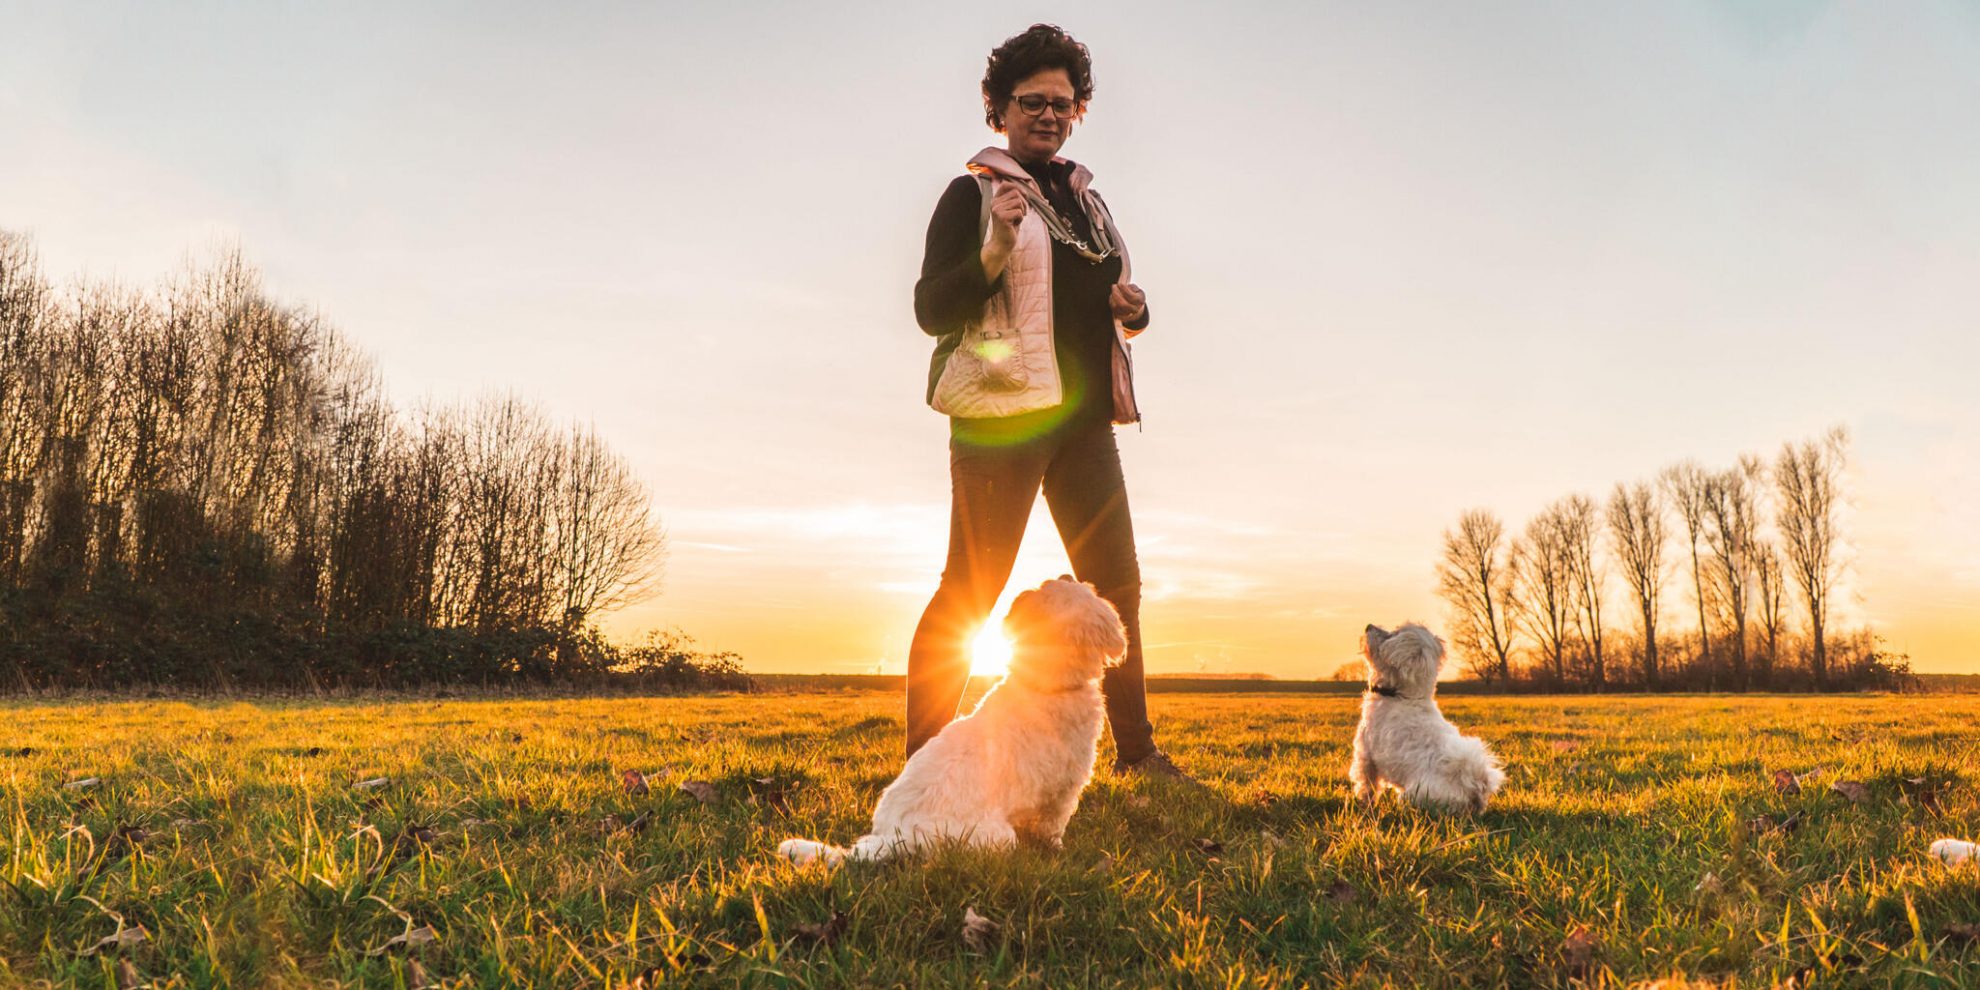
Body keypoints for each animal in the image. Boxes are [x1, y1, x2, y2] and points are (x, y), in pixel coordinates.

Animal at [776, 578, 1132, 863]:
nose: (1065, 574)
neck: (1045, 683)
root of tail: (893, 837)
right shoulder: (1063, 789)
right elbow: (1053, 825)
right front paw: (1057, 849)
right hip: (997, 836)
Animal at [1354, 625, 1504, 811]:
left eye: (1392, 634)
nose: (1368, 626)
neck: (1405, 696)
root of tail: (1474, 787)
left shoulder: (1365, 753)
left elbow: (1367, 784)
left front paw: (1365, 806)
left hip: (1413, 795)